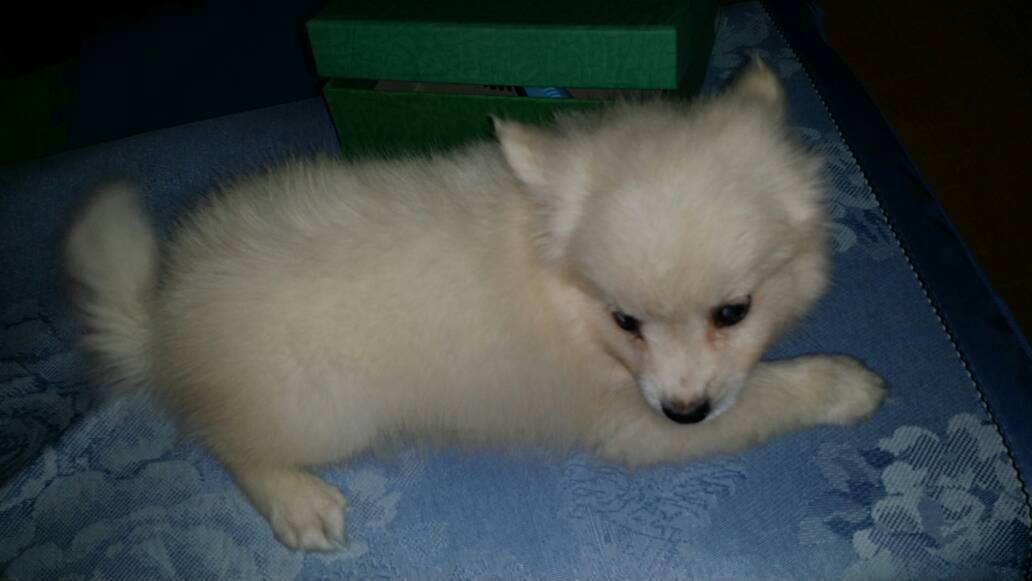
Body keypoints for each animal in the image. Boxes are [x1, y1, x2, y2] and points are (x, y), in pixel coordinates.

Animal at [64, 59, 886, 551]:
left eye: (733, 312)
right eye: (626, 321)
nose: (685, 412)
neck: (558, 292)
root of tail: (161, 319)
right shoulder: (631, 422)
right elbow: (770, 394)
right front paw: (845, 384)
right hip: (323, 412)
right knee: (229, 443)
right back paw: (298, 504)